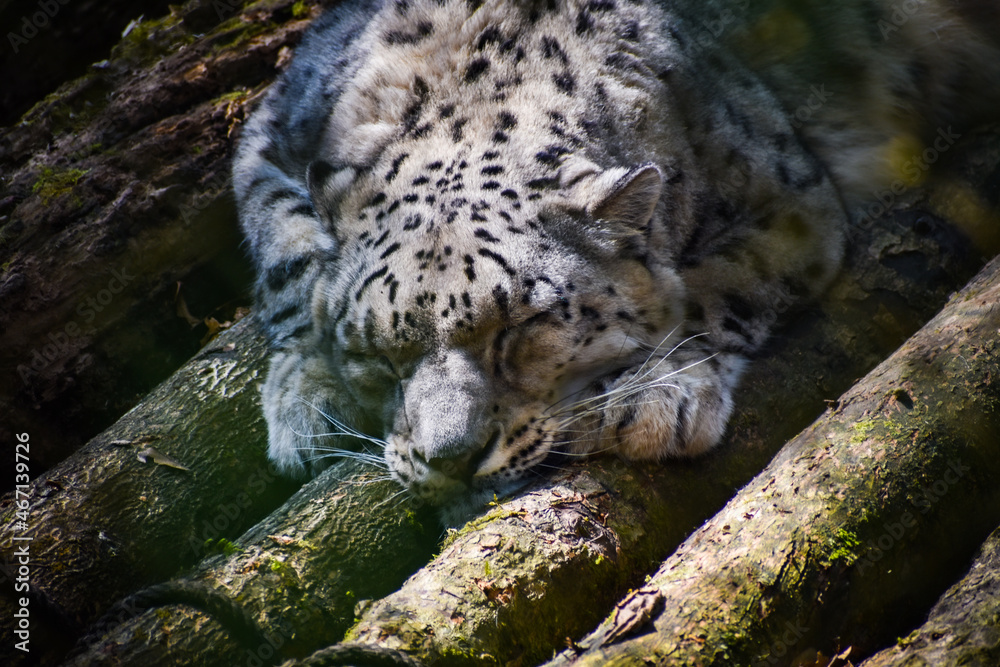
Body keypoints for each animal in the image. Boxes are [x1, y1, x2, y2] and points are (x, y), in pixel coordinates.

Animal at [233, 0, 1000, 520]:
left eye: (520, 328)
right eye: (378, 356)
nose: (451, 459)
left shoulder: (791, 201)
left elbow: (713, 288)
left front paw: (656, 393)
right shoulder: (268, 134)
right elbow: (285, 254)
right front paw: (310, 399)